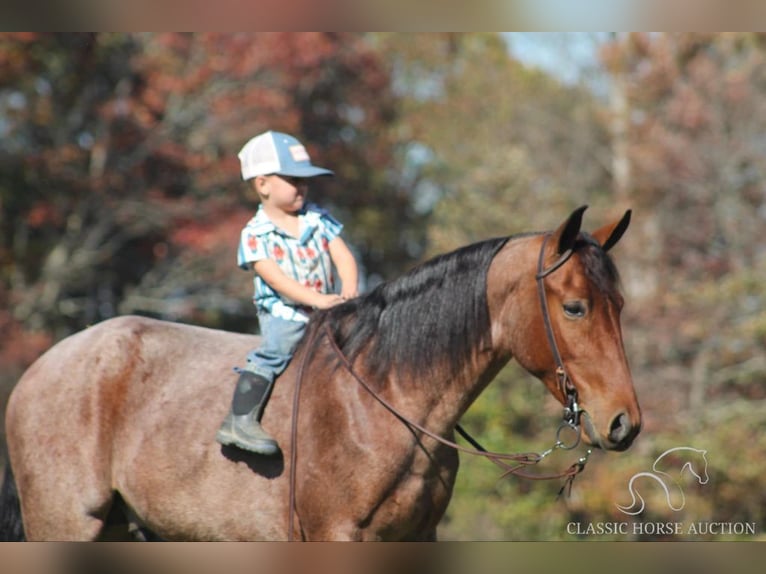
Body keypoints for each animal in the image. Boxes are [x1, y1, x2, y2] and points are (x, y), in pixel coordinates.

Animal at [1, 206, 640, 540]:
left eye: (620, 305)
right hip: (66, 523)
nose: (623, 423)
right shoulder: (336, 535)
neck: (386, 396)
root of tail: (42, 368)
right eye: (575, 307)